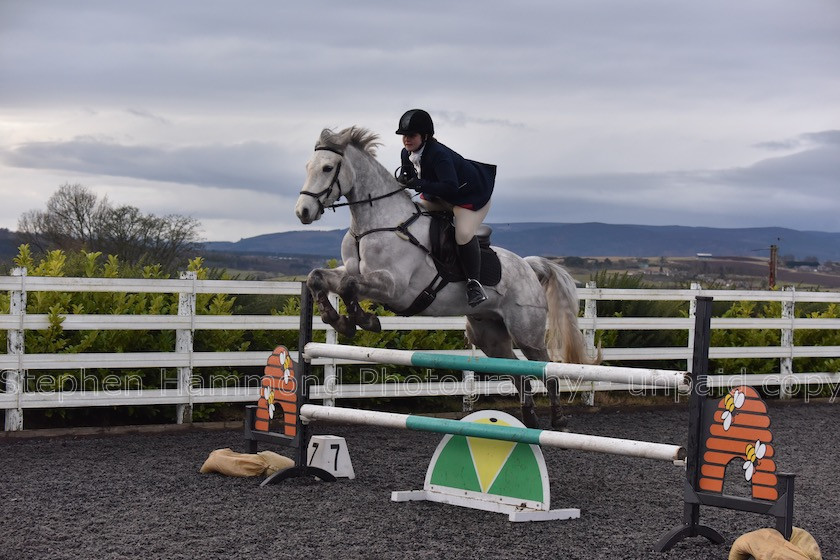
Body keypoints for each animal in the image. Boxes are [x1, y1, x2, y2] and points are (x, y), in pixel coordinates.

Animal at [296, 127, 596, 426]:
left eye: (327, 168)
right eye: (307, 166)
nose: (303, 212)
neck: (377, 224)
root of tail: (528, 267)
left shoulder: (394, 286)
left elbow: (348, 286)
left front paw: (363, 320)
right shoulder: (354, 271)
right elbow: (318, 277)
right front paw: (336, 319)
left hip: (527, 333)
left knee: (547, 369)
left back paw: (558, 419)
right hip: (489, 336)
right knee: (517, 372)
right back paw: (530, 421)